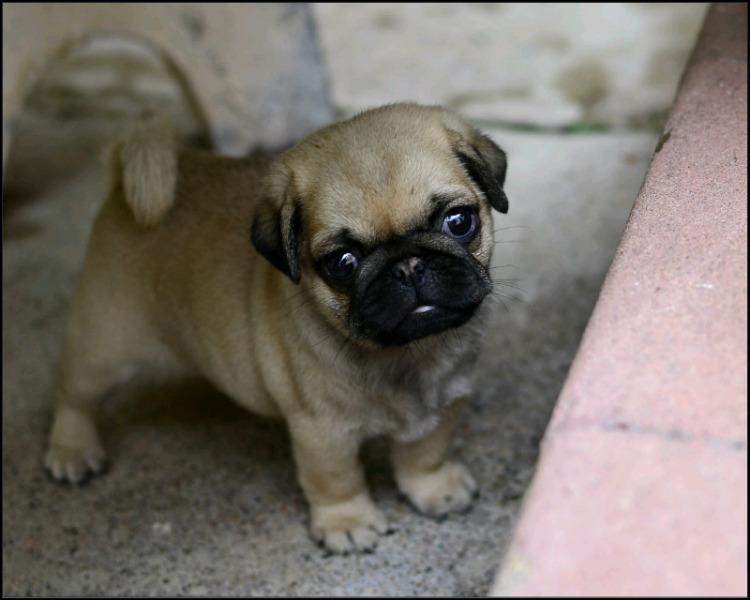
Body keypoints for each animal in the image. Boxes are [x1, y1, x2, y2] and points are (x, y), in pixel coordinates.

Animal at [42, 102, 512, 552]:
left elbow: (424, 454)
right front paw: (347, 523)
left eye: (458, 222)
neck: (409, 353)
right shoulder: (322, 431)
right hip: (104, 345)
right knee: (74, 395)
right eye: (343, 262)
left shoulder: (444, 403)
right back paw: (72, 449)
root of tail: (120, 184)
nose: (408, 266)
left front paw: (434, 488)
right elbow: (336, 479)